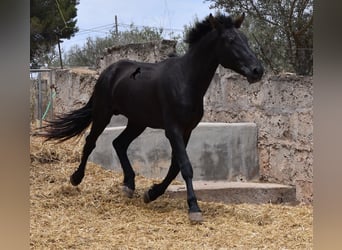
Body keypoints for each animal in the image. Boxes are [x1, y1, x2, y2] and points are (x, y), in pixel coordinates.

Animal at [41, 13, 264, 223]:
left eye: (245, 38)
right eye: (230, 40)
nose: (257, 70)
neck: (185, 80)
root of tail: (107, 72)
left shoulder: (186, 130)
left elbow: (175, 166)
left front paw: (151, 193)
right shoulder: (173, 129)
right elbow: (185, 166)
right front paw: (194, 208)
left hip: (137, 122)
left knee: (119, 143)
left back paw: (129, 185)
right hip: (103, 114)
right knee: (91, 142)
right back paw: (76, 178)